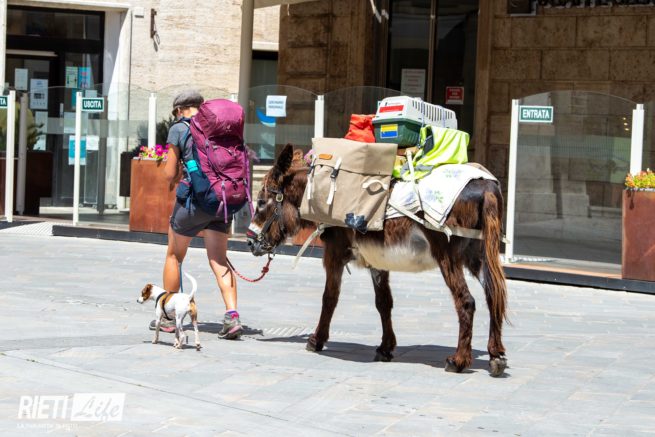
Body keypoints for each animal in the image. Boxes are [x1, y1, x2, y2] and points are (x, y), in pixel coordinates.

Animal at [246, 144, 508, 377]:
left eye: (261, 202)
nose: (249, 242)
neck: (320, 190)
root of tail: (485, 186)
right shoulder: (377, 261)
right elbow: (383, 303)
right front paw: (385, 348)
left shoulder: (334, 253)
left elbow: (329, 298)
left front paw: (316, 340)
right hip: (479, 255)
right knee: (494, 296)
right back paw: (496, 356)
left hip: (448, 256)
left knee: (466, 301)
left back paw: (459, 360)